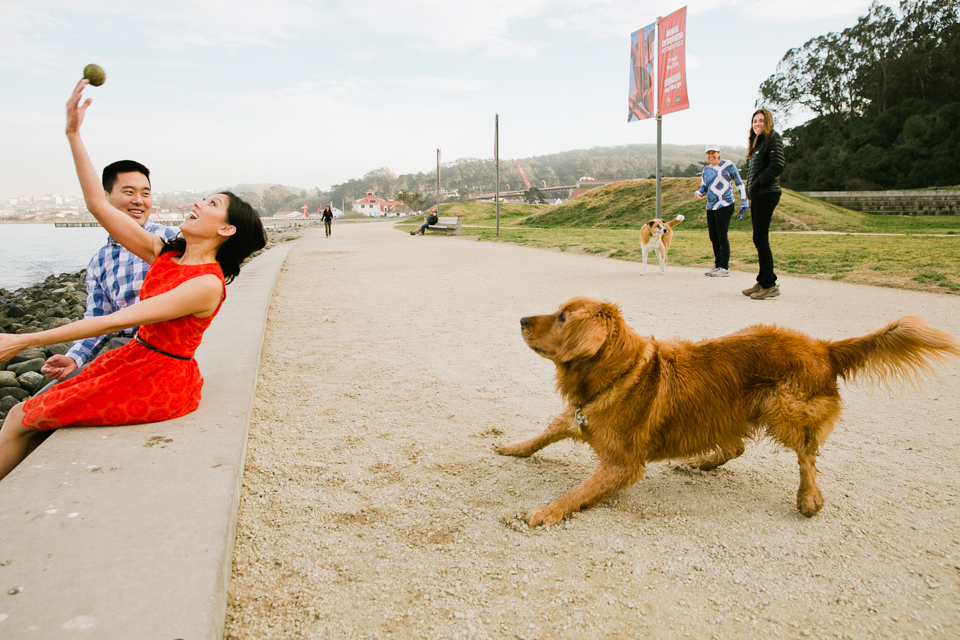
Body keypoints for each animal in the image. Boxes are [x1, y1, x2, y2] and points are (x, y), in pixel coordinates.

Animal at [502, 298, 960, 528]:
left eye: (562, 316)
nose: (521, 318)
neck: (620, 373)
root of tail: (823, 347)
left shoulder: (623, 464)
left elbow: (578, 492)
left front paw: (545, 512)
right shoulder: (578, 415)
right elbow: (544, 432)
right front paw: (512, 447)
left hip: (783, 407)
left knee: (807, 454)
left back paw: (808, 497)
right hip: (737, 407)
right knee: (738, 446)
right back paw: (704, 462)